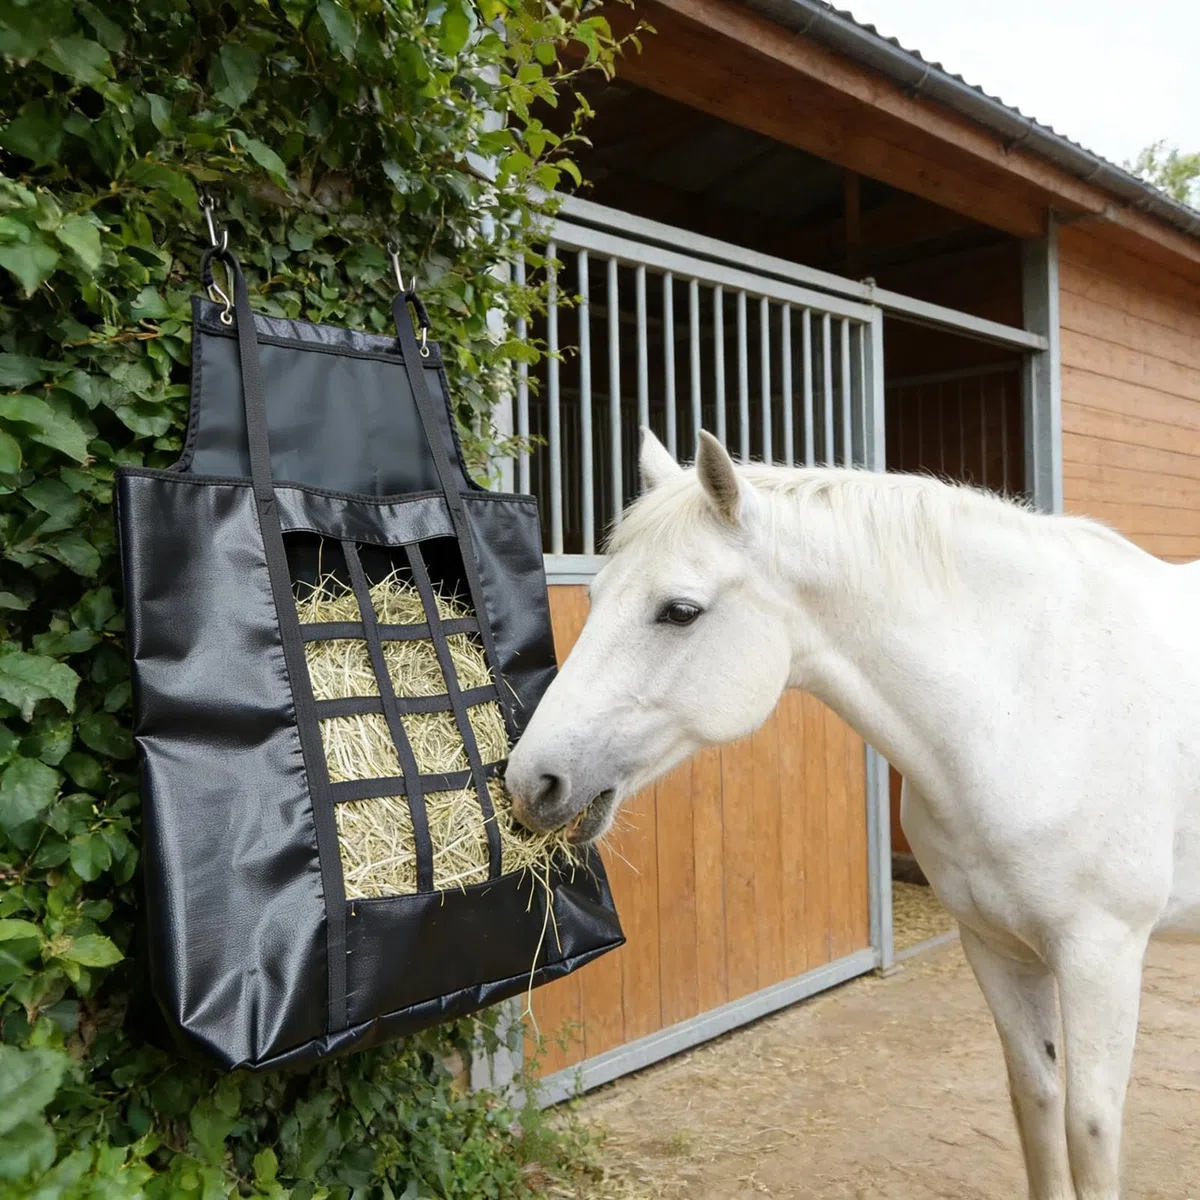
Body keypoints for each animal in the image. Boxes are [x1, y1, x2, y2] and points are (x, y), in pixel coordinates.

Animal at [506, 428, 1200, 1200]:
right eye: (594, 595)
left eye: (679, 610)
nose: (531, 782)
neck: (1028, 699)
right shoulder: (996, 946)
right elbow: (1038, 1103)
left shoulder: (1101, 954)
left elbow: (1091, 1131)